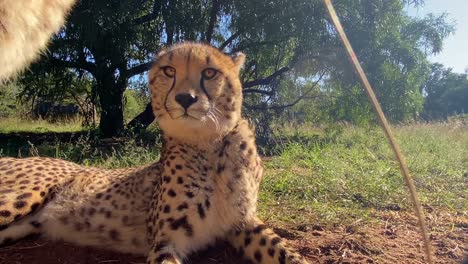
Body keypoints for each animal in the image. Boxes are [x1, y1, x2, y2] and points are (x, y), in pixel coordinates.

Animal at [0, 42, 308, 262]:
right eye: (169, 71)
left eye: (210, 73)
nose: (185, 98)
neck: (209, 146)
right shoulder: (165, 240)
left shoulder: (243, 222)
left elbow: (286, 252)